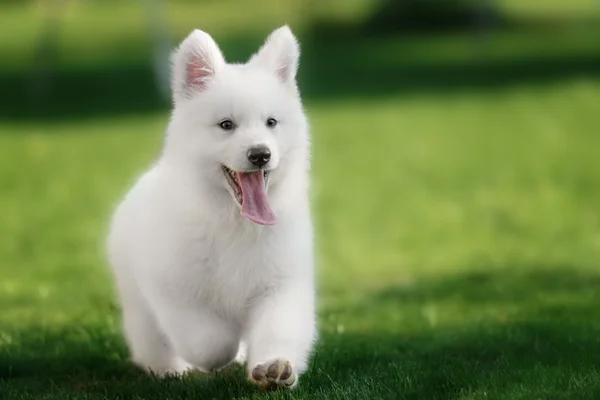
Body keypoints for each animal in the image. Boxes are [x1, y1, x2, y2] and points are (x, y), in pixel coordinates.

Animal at [106, 26, 316, 390]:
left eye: (271, 122)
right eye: (226, 125)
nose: (260, 154)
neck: (234, 220)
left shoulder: (280, 283)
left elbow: (277, 329)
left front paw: (273, 367)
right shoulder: (175, 289)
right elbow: (210, 342)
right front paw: (224, 353)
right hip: (138, 305)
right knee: (151, 342)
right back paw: (168, 369)